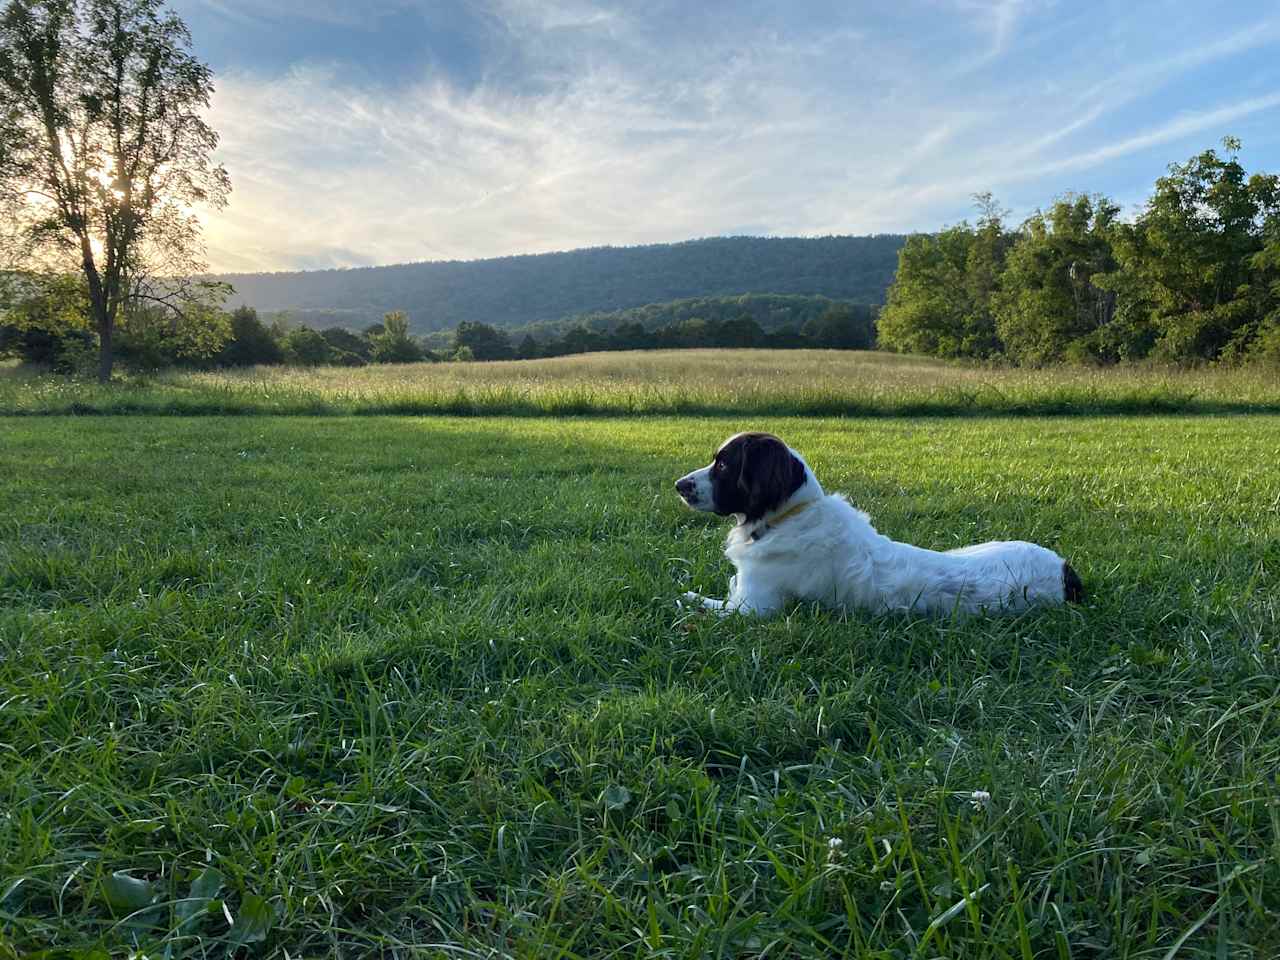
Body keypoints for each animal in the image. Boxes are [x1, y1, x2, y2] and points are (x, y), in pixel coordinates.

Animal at [675, 435, 1085, 619]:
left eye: (724, 465)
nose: (679, 485)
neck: (787, 517)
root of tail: (1065, 572)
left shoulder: (753, 609)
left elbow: (697, 603)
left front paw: (682, 600)